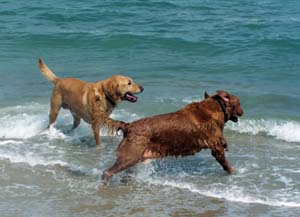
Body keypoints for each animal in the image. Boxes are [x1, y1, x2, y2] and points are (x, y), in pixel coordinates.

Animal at [102, 90, 243, 184]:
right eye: (239, 103)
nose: (243, 111)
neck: (215, 108)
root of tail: (128, 126)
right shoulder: (216, 147)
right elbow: (225, 163)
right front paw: (233, 172)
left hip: (136, 158)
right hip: (130, 156)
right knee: (107, 172)